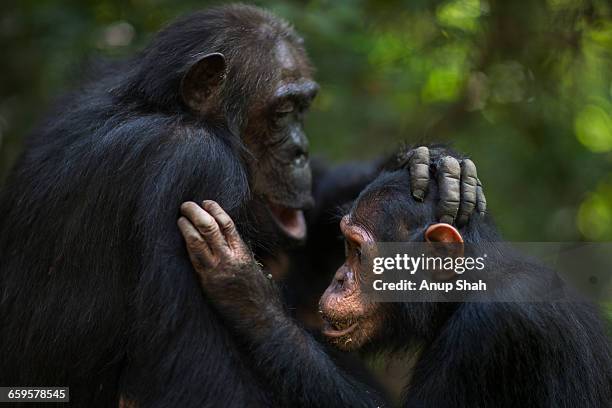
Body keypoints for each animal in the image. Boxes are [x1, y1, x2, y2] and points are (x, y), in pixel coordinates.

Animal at [0, 3, 482, 408]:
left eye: (304, 108)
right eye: (283, 111)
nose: (301, 151)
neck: (163, 108)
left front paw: (435, 166)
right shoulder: (195, 168)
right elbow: (202, 380)